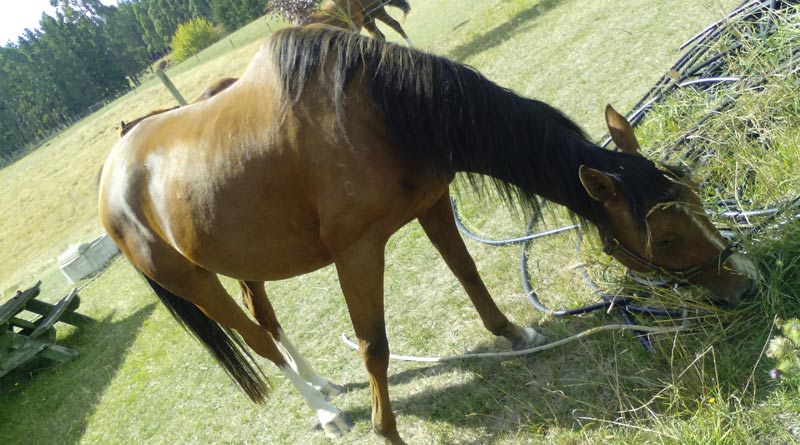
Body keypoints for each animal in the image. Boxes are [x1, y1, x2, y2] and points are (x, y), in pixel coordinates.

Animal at [97, 26, 760, 444]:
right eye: (665, 240)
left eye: (694, 191)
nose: (746, 286)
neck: (376, 113)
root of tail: (113, 171)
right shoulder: (356, 252)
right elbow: (374, 346)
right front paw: (385, 429)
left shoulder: (432, 204)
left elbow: (468, 274)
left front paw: (512, 333)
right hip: (194, 281)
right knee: (257, 340)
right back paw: (326, 412)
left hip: (243, 259)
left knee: (266, 319)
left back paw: (321, 385)